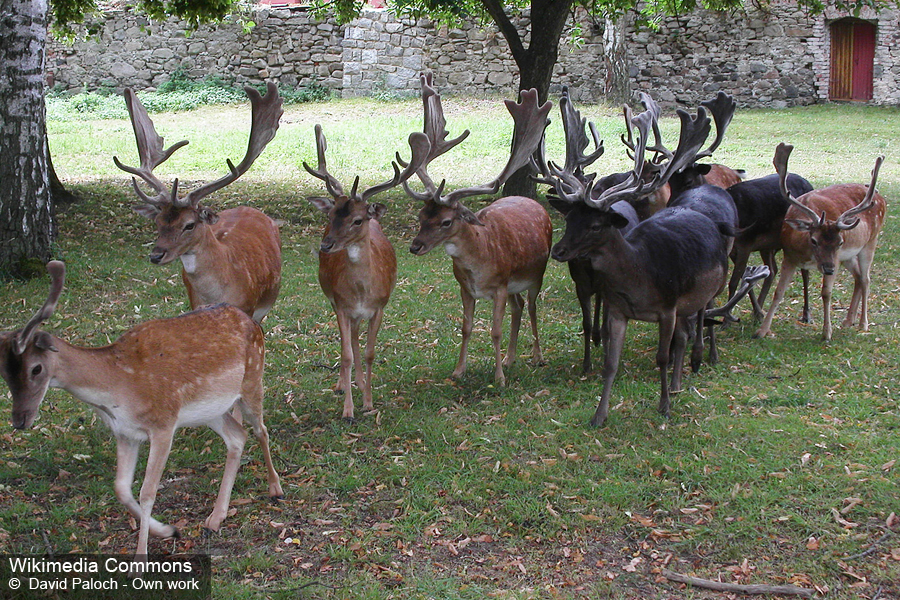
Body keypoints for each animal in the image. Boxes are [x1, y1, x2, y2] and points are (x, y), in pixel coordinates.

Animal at [0, 262, 282, 556]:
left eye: (36, 368)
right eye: (4, 372)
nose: (19, 419)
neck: (118, 388)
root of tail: (253, 322)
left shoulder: (163, 424)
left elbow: (148, 491)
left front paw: (141, 557)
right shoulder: (125, 432)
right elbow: (121, 488)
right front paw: (168, 530)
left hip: (252, 380)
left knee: (260, 430)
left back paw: (275, 488)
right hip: (211, 410)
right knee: (237, 437)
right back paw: (215, 517)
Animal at [304, 124, 430, 420]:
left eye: (357, 220)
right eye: (331, 217)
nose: (326, 245)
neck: (362, 292)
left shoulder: (380, 306)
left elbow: (371, 352)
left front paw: (369, 402)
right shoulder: (340, 304)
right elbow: (348, 353)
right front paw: (348, 410)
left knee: (355, 337)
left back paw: (360, 383)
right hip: (332, 299)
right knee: (348, 340)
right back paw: (344, 384)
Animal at [402, 71, 556, 390]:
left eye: (446, 221)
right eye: (422, 215)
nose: (415, 246)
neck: (479, 263)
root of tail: (533, 202)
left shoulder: (499, 285)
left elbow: (494, 331)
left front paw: (498, 379)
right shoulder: (466, 288)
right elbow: (466, 327)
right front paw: (459, 371)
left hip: (535, 273)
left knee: (532, 307)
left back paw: (536, 356)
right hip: (515, 284)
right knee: (518, 307)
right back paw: (510, 358)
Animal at [752, 144, 884, 342]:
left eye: (840, 242)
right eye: (813, 240)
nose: (828, 269)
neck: (808, 255)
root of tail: (881, 199)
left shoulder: (835, 258)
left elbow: (826, 293)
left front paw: (826, 333)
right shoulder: (789, 257)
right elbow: (779, 292)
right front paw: (762, 331)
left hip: (870, 241)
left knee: (866, 279)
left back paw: (863, 324)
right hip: (848, 257)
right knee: (859, 277)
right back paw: (848, 320)